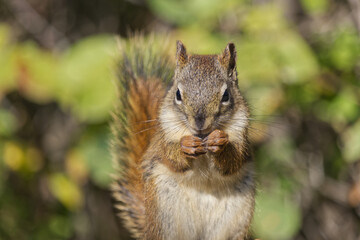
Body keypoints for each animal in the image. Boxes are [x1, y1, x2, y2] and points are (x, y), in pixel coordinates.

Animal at [111, 36, 255, 240]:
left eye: (226, 95)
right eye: (178, 94)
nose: (200, 124)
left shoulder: (241, 135)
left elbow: (233, 161)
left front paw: (219, 143)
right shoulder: (163, 138)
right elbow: (172, 157)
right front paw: (186, 146)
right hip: (165, 215)